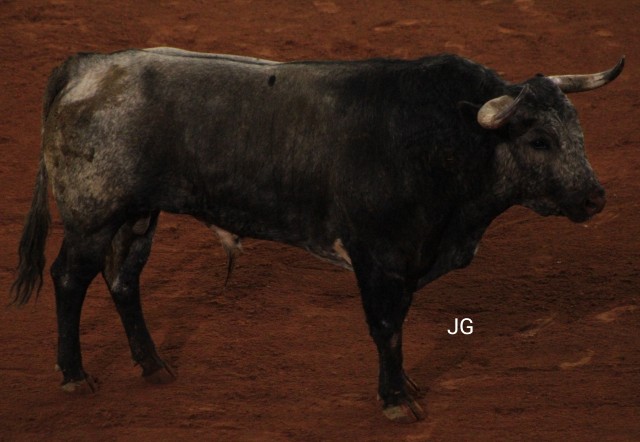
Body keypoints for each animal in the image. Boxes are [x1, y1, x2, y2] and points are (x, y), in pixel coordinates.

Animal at [11, 47, 624, 423]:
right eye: (539, 140)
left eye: (577, 129)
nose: (595, 197)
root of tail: (90, 65)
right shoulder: (379, 258)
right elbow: (386, 329)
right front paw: (396, 401)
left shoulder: (405, 261)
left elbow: (396, 328)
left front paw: (407, 389)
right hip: (93, 217)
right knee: (69, 279)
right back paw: (75, 375)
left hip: (136, 216)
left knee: (123, 281)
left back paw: (154, 367)